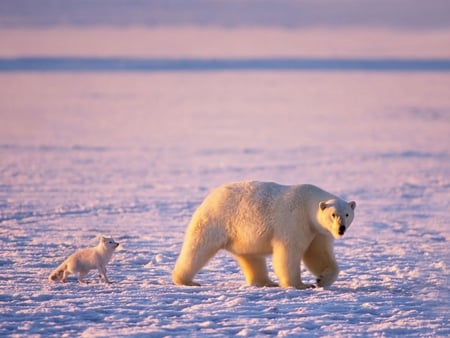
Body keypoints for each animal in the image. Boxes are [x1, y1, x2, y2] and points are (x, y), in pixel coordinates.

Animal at [172, 181, 356, 290]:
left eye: (347, 214)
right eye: (333, 214)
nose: (341, 229)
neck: (308, 203)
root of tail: (210, 196)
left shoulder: (317, 231)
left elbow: (318, 254)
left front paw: (321, 280)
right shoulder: (294, 220)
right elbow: (289, 253)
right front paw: (299, 284)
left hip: (242, 236)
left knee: (251, 257)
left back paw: (266, 282)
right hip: (217, 220)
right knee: (198, 248)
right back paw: (186, 280)